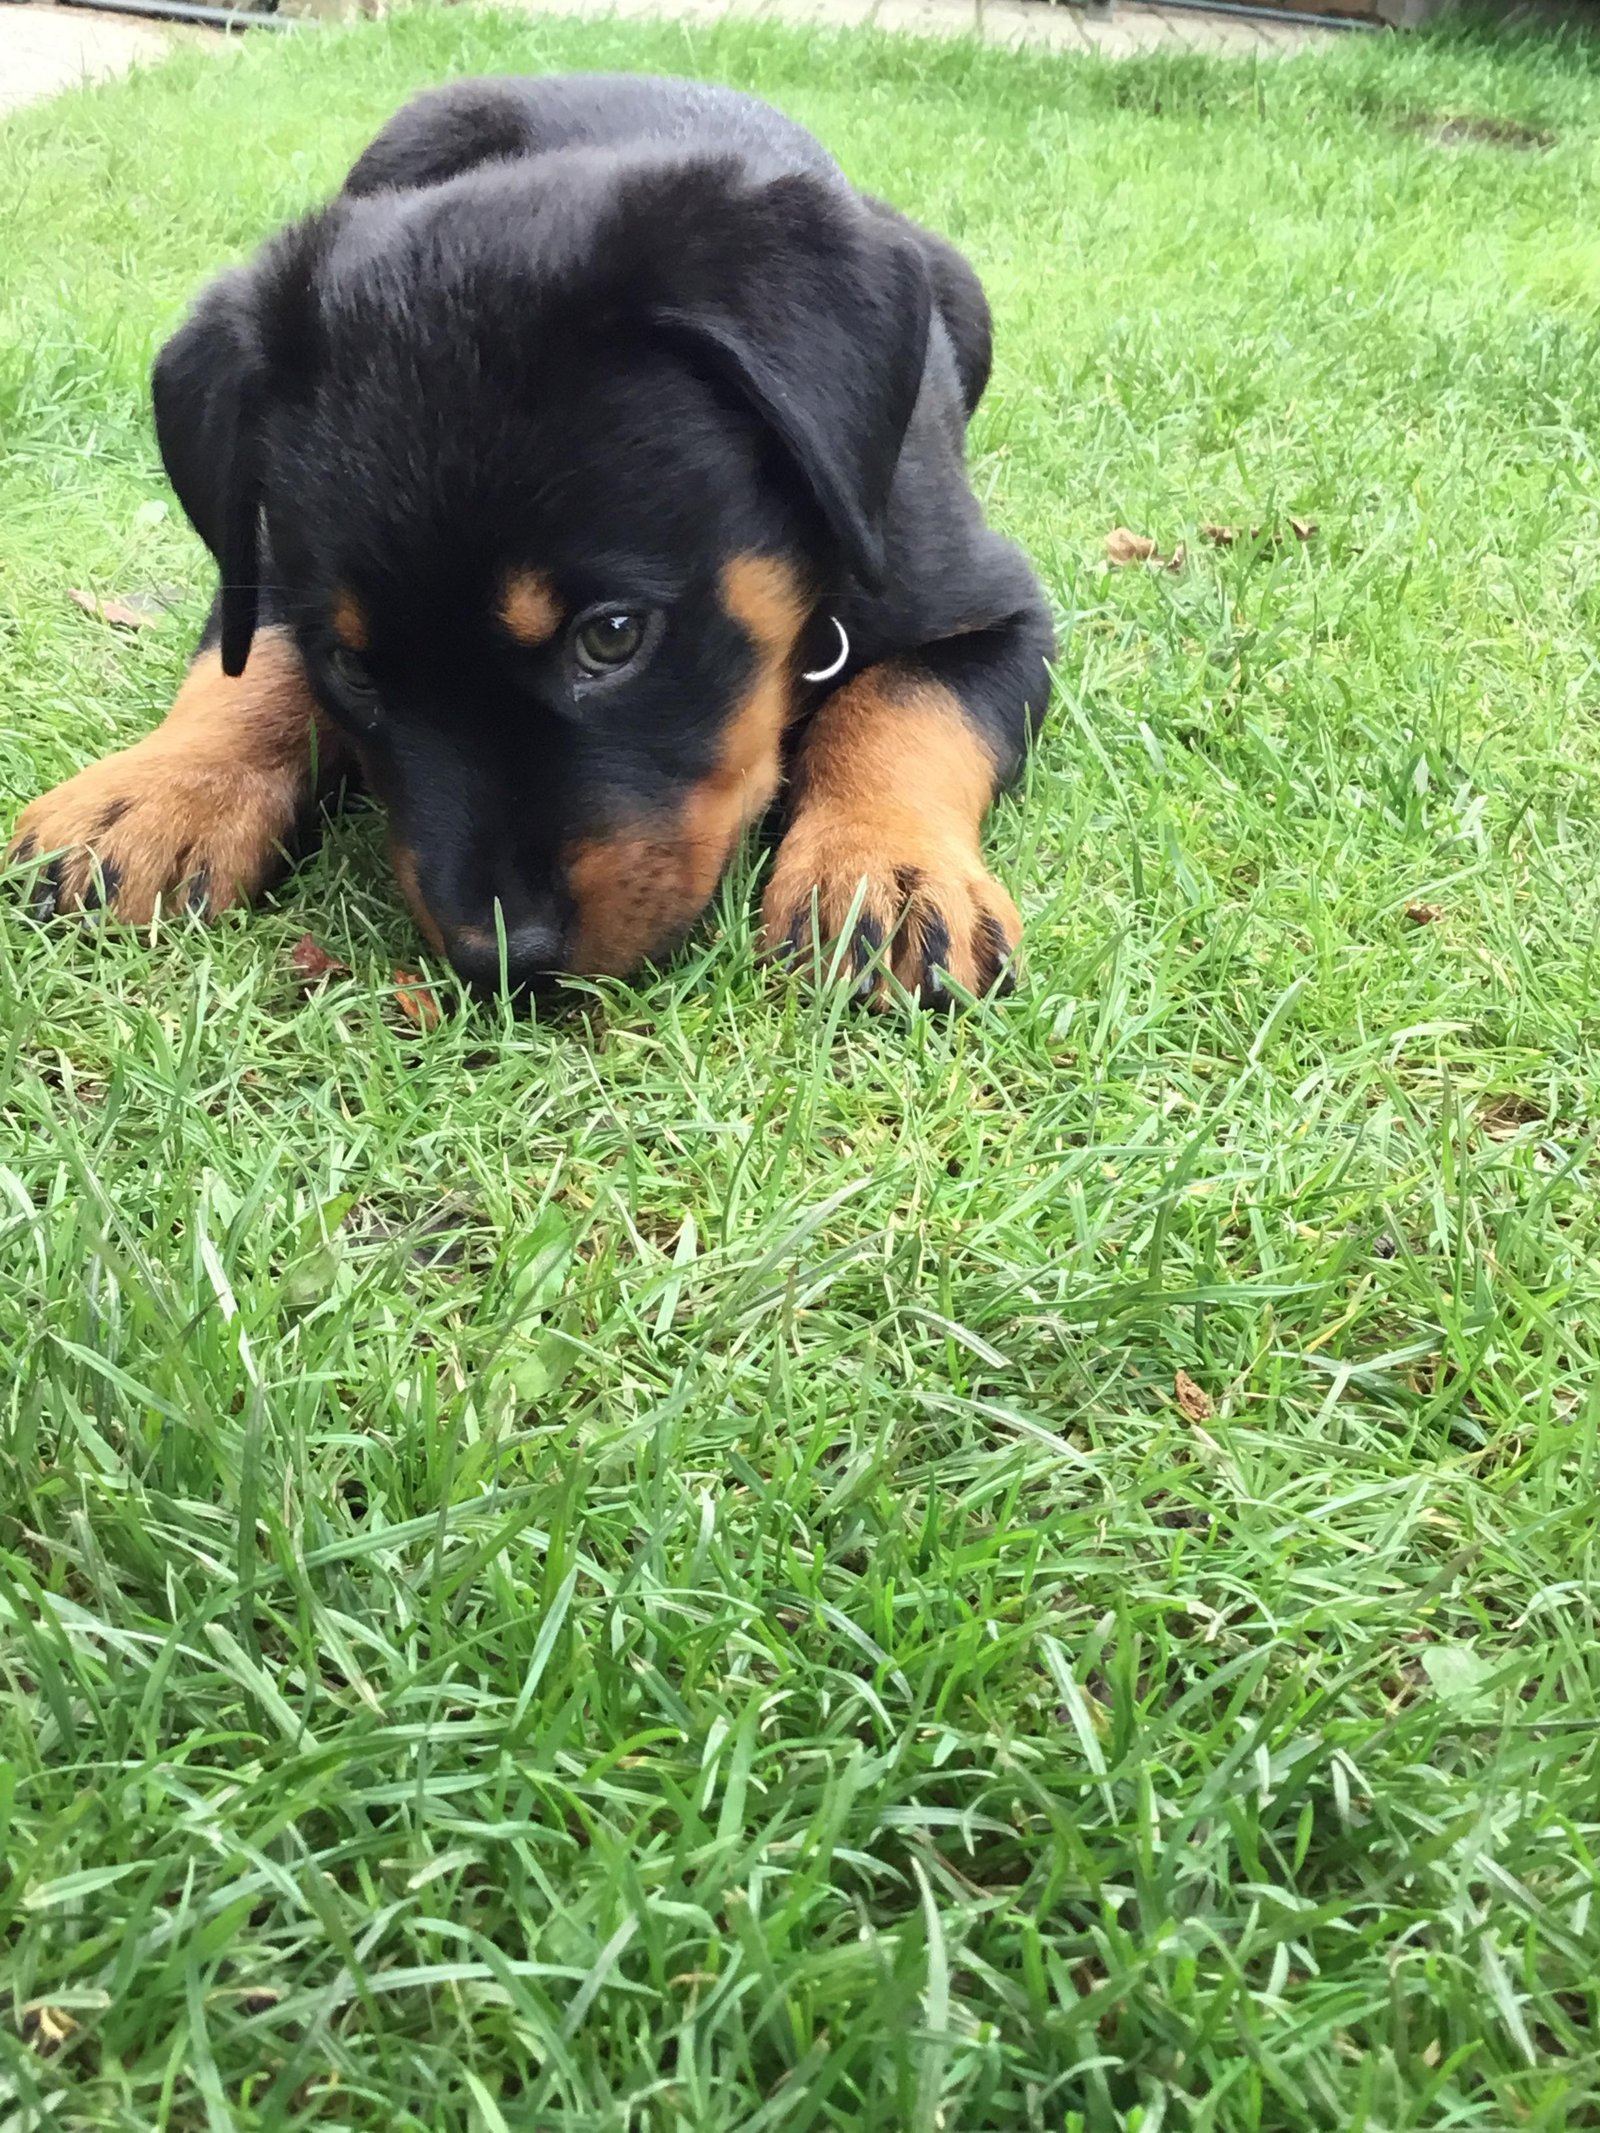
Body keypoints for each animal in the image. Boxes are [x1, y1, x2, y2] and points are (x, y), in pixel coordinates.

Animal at [15, 68, 1066, 998]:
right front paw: (154, 795)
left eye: (612, 635)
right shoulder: (263, 558)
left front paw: (884, 873)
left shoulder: (999, 607)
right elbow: (248, 662)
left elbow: (906, 707)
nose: (503, 961)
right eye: (353, 668)